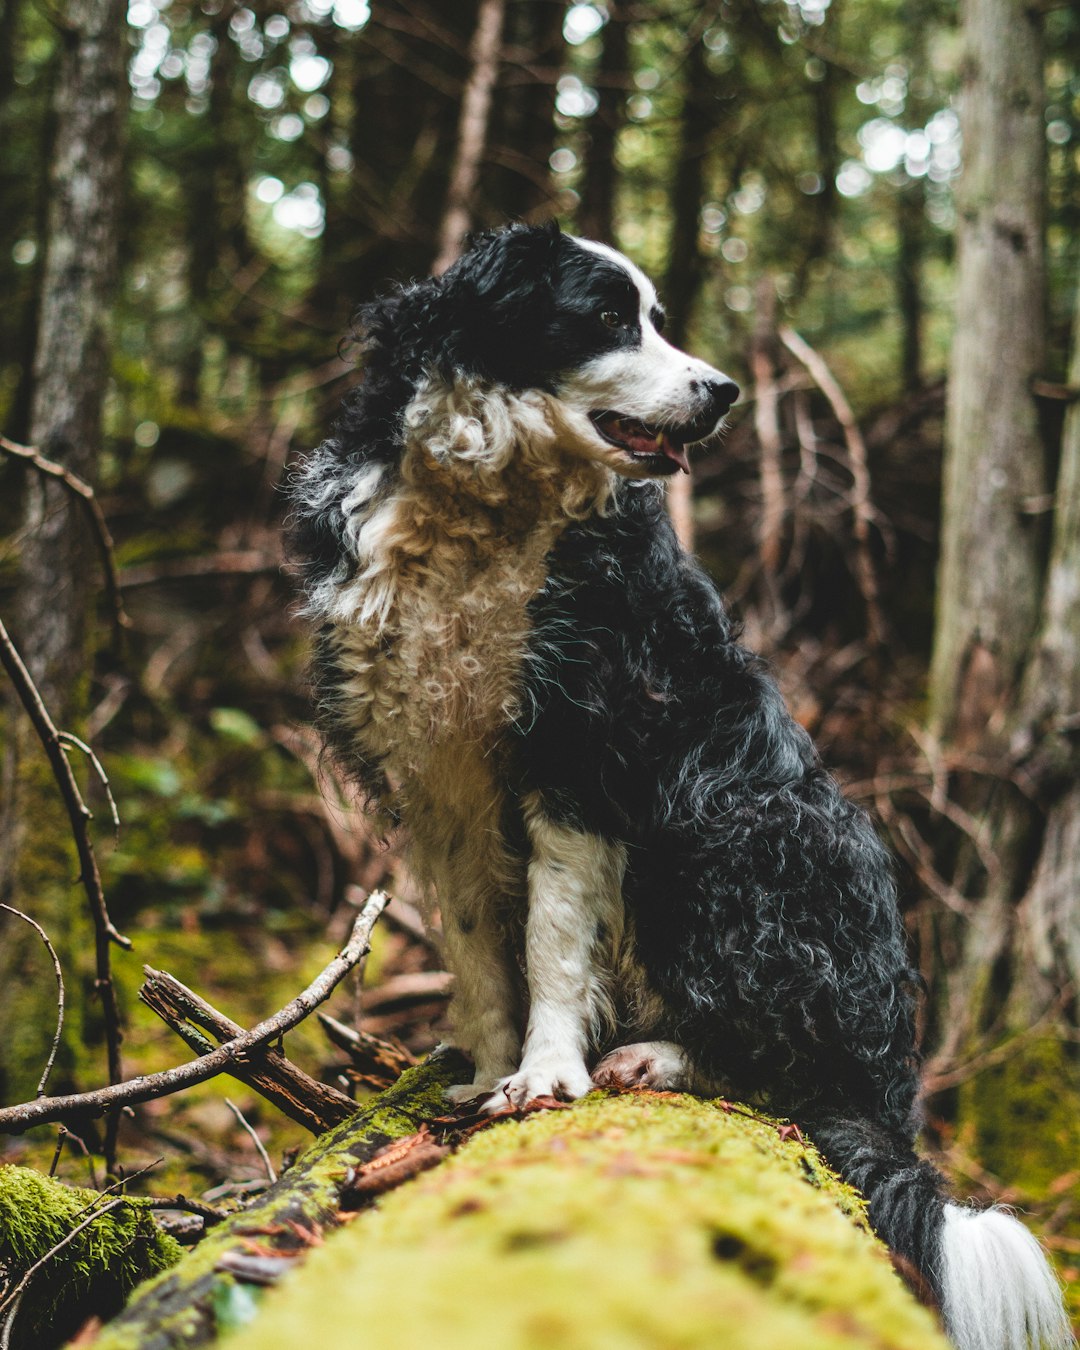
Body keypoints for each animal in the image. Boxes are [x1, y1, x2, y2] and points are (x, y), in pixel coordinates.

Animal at [286, 224, 1069, 1350]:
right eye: (611, 318)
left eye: (656, 317)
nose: (723, 391)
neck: (490, 508)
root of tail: (893, 1085)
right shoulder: (435, 786)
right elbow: (480, 954)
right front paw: (486, 1072)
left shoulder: (581, 758)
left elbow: (551, 942)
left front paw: (546, 1072)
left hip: (732, 826)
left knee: (780, 1064)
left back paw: (654, 1058)